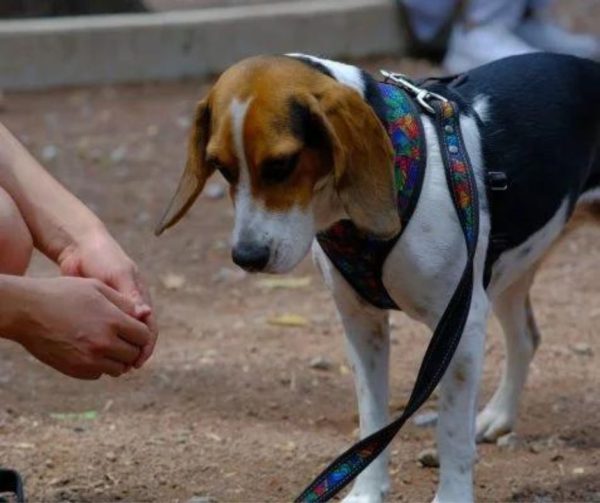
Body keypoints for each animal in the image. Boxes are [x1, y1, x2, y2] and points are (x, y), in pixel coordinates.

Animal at [157, 53, 600, 502]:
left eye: (282, 164)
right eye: (221, 168)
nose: (246, 257)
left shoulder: (461, 326)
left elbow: (451, 431)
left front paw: (452, 494)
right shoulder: (362, 326)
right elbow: (372, 422)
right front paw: (366, 492)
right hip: (506, 275)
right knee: (526, 338)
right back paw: (497, 416)